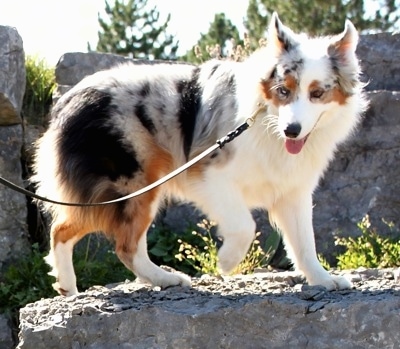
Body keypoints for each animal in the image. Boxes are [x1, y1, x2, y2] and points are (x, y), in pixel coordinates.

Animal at [32, 14, 368, 296]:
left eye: (317, 93)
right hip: (135, 181)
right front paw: (227, 261)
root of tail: (69, 98)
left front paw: (323, 279)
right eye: (283, 90)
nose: (292, 130)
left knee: (71, 231)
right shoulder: (209, 174)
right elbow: (245, 225)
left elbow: (304, 243)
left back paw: (75, 286)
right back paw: (159, 278)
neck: (267, 122)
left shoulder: (292, 191)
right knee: (115, 242)